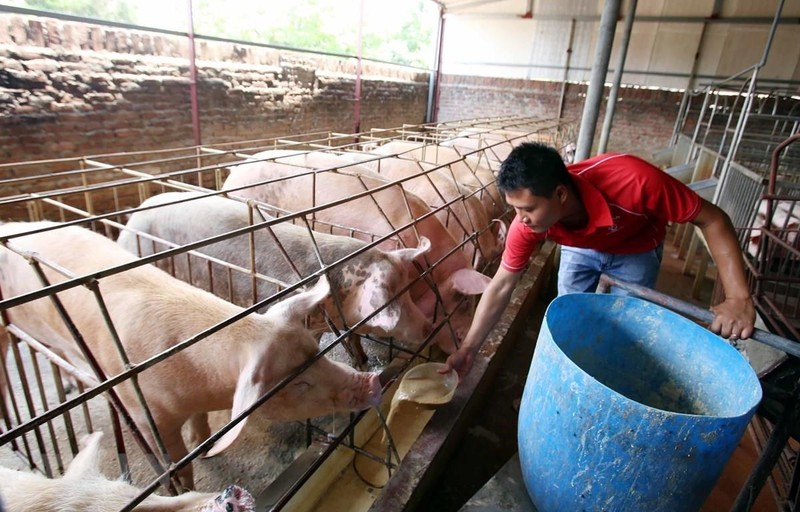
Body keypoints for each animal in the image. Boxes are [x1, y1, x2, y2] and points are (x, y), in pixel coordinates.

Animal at [0, 222, 384, 490]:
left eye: (317, 354)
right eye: (298, 383)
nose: (372, 380)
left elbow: (200, 423)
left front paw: (202, 444)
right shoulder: (147, 416)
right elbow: (176, 462)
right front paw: (186, 485)